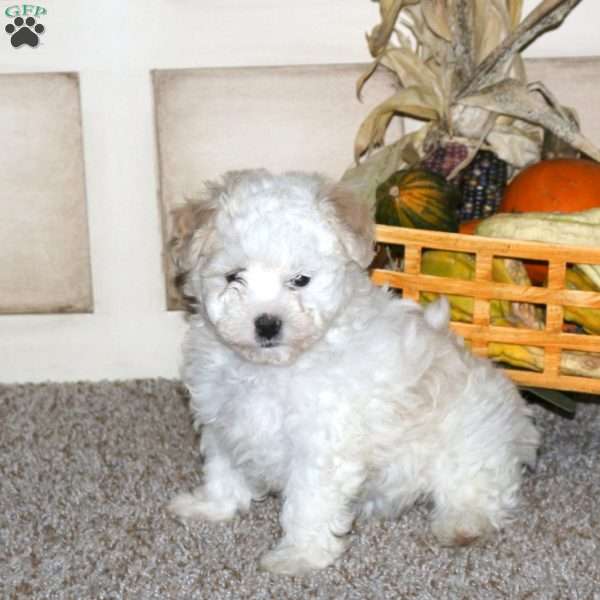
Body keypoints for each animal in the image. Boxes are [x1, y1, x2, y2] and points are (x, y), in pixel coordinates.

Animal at [168, 170, 540, 576]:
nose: (267, 324)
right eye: (234, 276)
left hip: (471, 441)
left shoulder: (321, 444)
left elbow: (308, 503)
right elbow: (223, 469)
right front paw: (211, 507)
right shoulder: (224, 419)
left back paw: (463, 524)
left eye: (300, 280)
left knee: (478, 488)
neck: (273, 367)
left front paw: (299, 555)